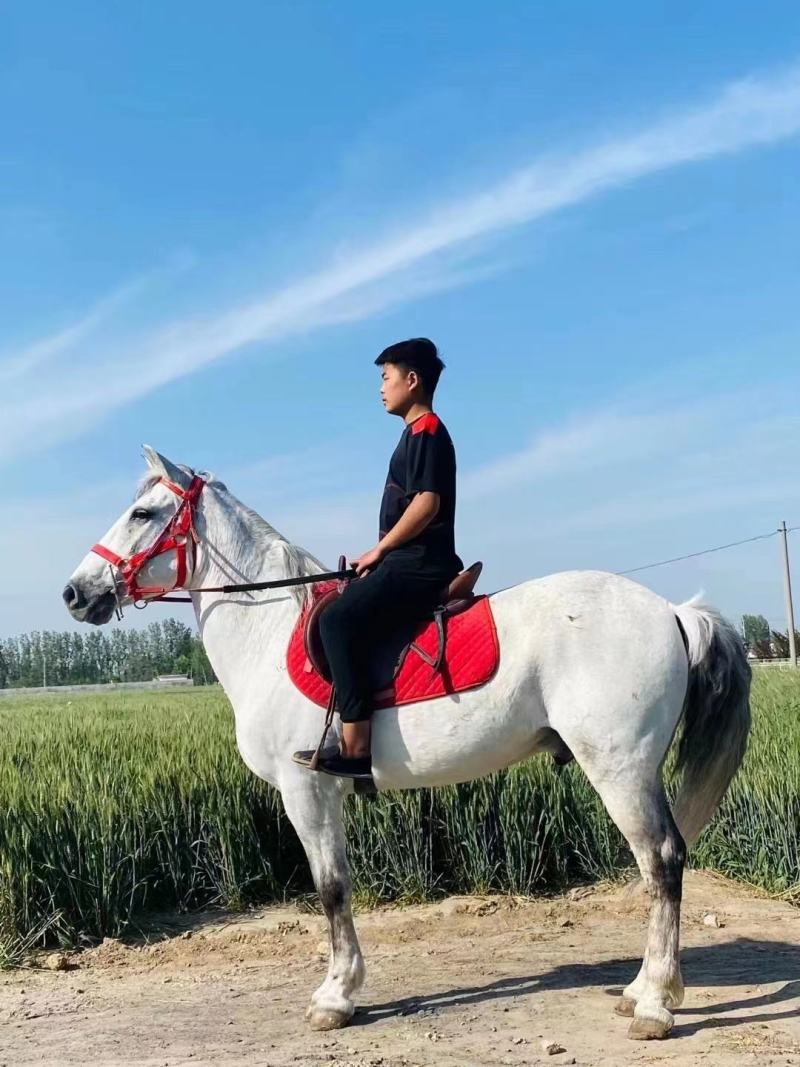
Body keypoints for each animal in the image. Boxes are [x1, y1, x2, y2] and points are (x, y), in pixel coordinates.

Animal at [63, 446, 751, 1040]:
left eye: (143, 514)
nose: (75, 592)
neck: (268, 630)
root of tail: (672, 611)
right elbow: (335, 884)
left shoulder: (306, 788)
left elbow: (332, 887)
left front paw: (336, 996)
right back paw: (639, 990)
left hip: (620, 767)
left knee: (662, 860)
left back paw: (655, 1004)